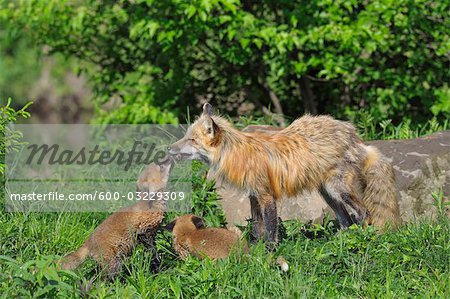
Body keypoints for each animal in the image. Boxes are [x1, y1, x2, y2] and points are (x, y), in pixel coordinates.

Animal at [169, 103, 400, 244]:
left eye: (191, 140)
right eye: (186, 136)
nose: (169, 148)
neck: (239, 154)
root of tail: (353, 134)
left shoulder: (267, 195)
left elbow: (271, 230)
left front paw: (269, 255)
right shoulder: (254, 195)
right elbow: (258, 229)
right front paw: (255, 250)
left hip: (338, 189)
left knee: (363, 213)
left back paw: (361, 239)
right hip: (327, 193)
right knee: (345, 220)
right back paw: (338, 243)